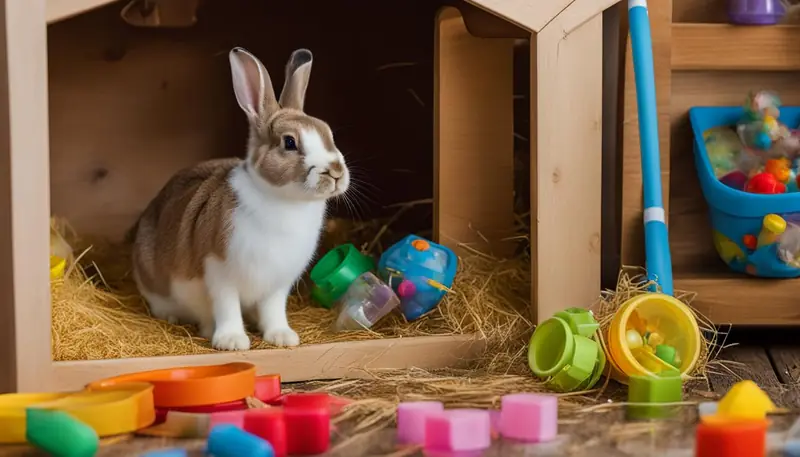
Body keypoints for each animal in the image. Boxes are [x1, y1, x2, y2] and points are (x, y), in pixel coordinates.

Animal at [131, 47, 350, 351]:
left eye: (328, 134)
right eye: (289, 142)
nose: (336, 173)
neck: (283, 201)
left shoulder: (277, 285)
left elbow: (274, 310)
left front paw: (283, 337)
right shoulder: (220, 274)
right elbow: (227, 308)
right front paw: (232, 341)